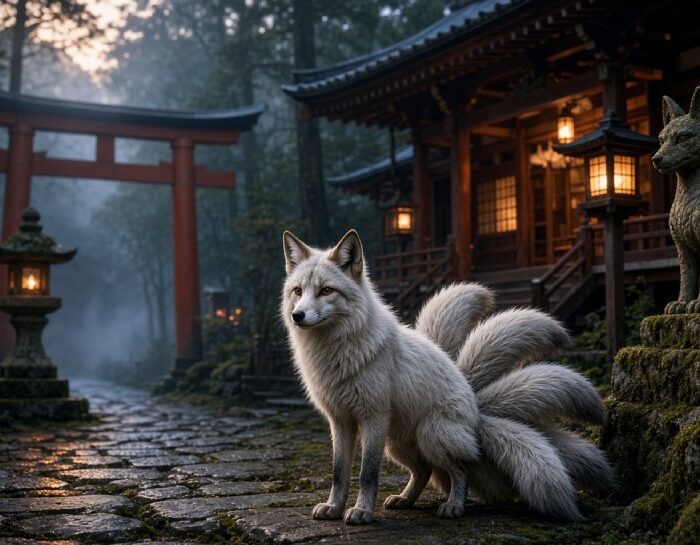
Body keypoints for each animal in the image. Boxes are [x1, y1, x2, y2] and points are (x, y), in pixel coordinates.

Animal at [281, 229, 614, 525]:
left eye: (326, 291)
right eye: (298, 291)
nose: (298, 316)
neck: (337, 352)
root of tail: (476, 411)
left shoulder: (373, 417)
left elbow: (367, 474)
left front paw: (362, 512)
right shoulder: (339, 420)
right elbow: (339, 472)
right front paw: (334, 508)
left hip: (430, 434)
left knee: (463, 467)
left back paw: (455, 506)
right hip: (399, 444)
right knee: (425, 472)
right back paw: (405, 500)